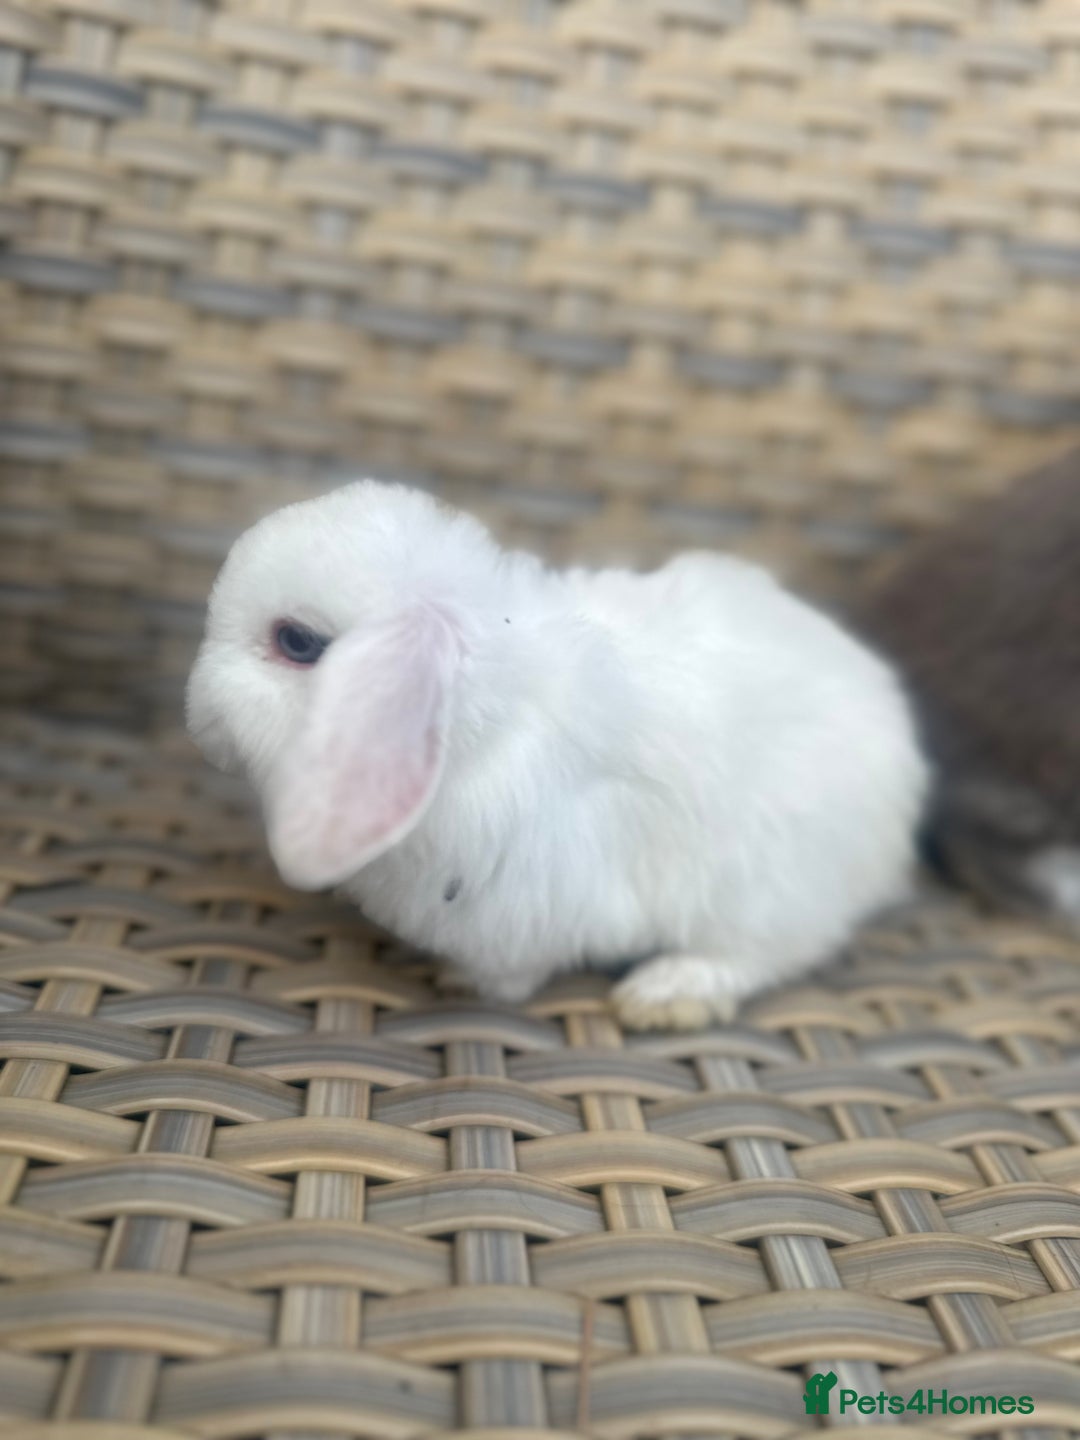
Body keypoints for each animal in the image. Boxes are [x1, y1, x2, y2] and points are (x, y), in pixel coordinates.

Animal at [186, 479, 927, 1030]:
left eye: (297, 642)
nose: (196, 714)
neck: (483, 719)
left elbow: (513, 969)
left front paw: (461, 983)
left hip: (767, 888)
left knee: (766, 950)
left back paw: (664, 996)